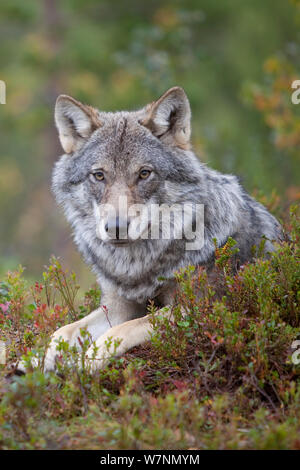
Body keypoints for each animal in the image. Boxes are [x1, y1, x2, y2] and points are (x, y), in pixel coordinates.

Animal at [18, 85, 282, 374]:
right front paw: (38, 358)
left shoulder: (198, 307)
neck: (138, 266)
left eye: (144, 173)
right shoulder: (116, 306)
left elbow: (120, 331)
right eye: (99, 175)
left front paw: (89, 358)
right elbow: (63, 331)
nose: (116, 227)